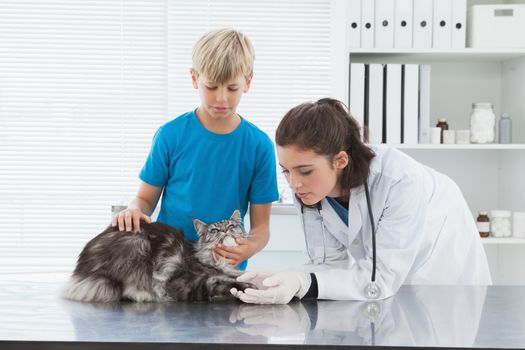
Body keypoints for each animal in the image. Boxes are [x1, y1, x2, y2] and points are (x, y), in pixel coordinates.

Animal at [63, 209, 252, 302]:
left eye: (231, 225)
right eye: (214, 230)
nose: (225, 230)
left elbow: (234, 277)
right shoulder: (190, 281)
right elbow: (227, 283)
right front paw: (249, 288)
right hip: (138, 245)